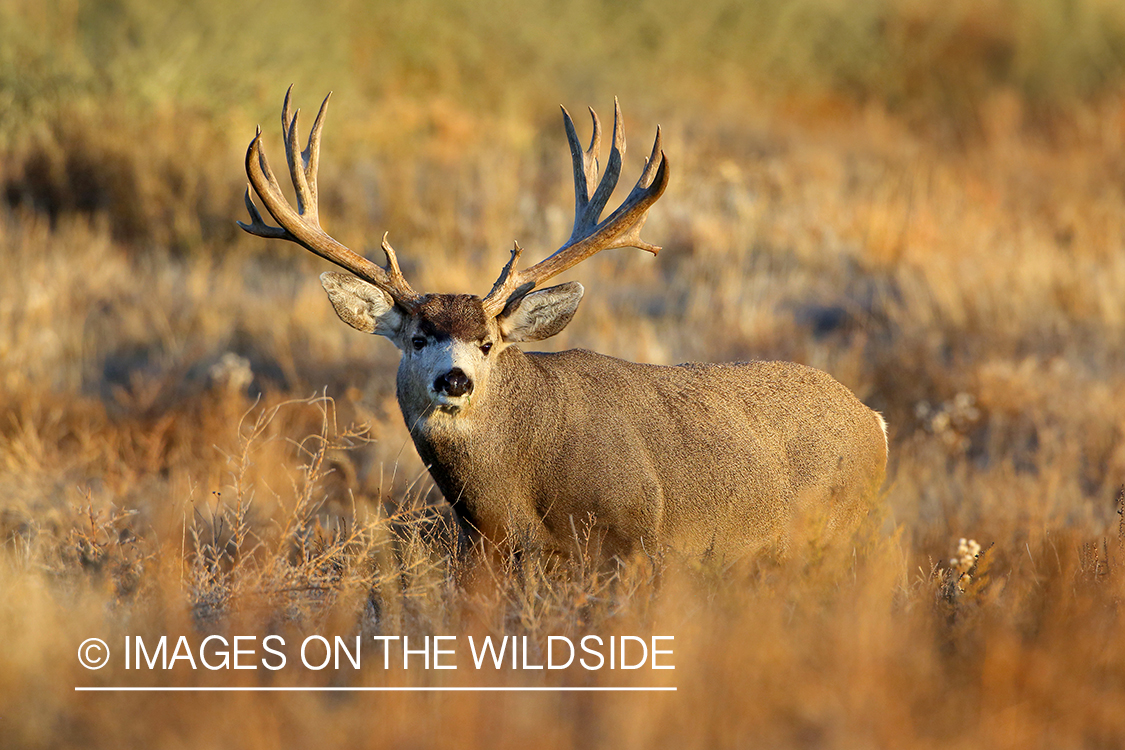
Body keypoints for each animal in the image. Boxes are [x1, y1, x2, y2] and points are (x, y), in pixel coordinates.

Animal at [237, 89, 886, 562]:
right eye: (418, 338)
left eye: (488, 344)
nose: (454, 381)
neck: (513, 495)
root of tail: (873, 421)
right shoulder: (489, 551)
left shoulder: (635, 537)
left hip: (833, 528)